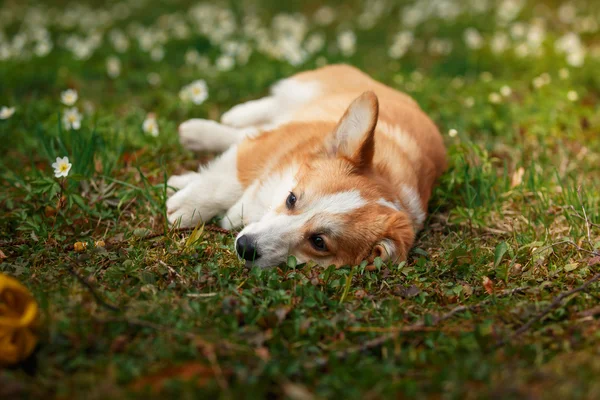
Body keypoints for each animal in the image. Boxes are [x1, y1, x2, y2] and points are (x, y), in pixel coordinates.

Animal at [166, 64, 448, 268]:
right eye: (291, 199)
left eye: (319, 242)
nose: (244, 246)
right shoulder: (269, 147)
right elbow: (228, 181)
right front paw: (185, 210)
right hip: (305, 91)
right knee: (266, 109)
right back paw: (225, 119)